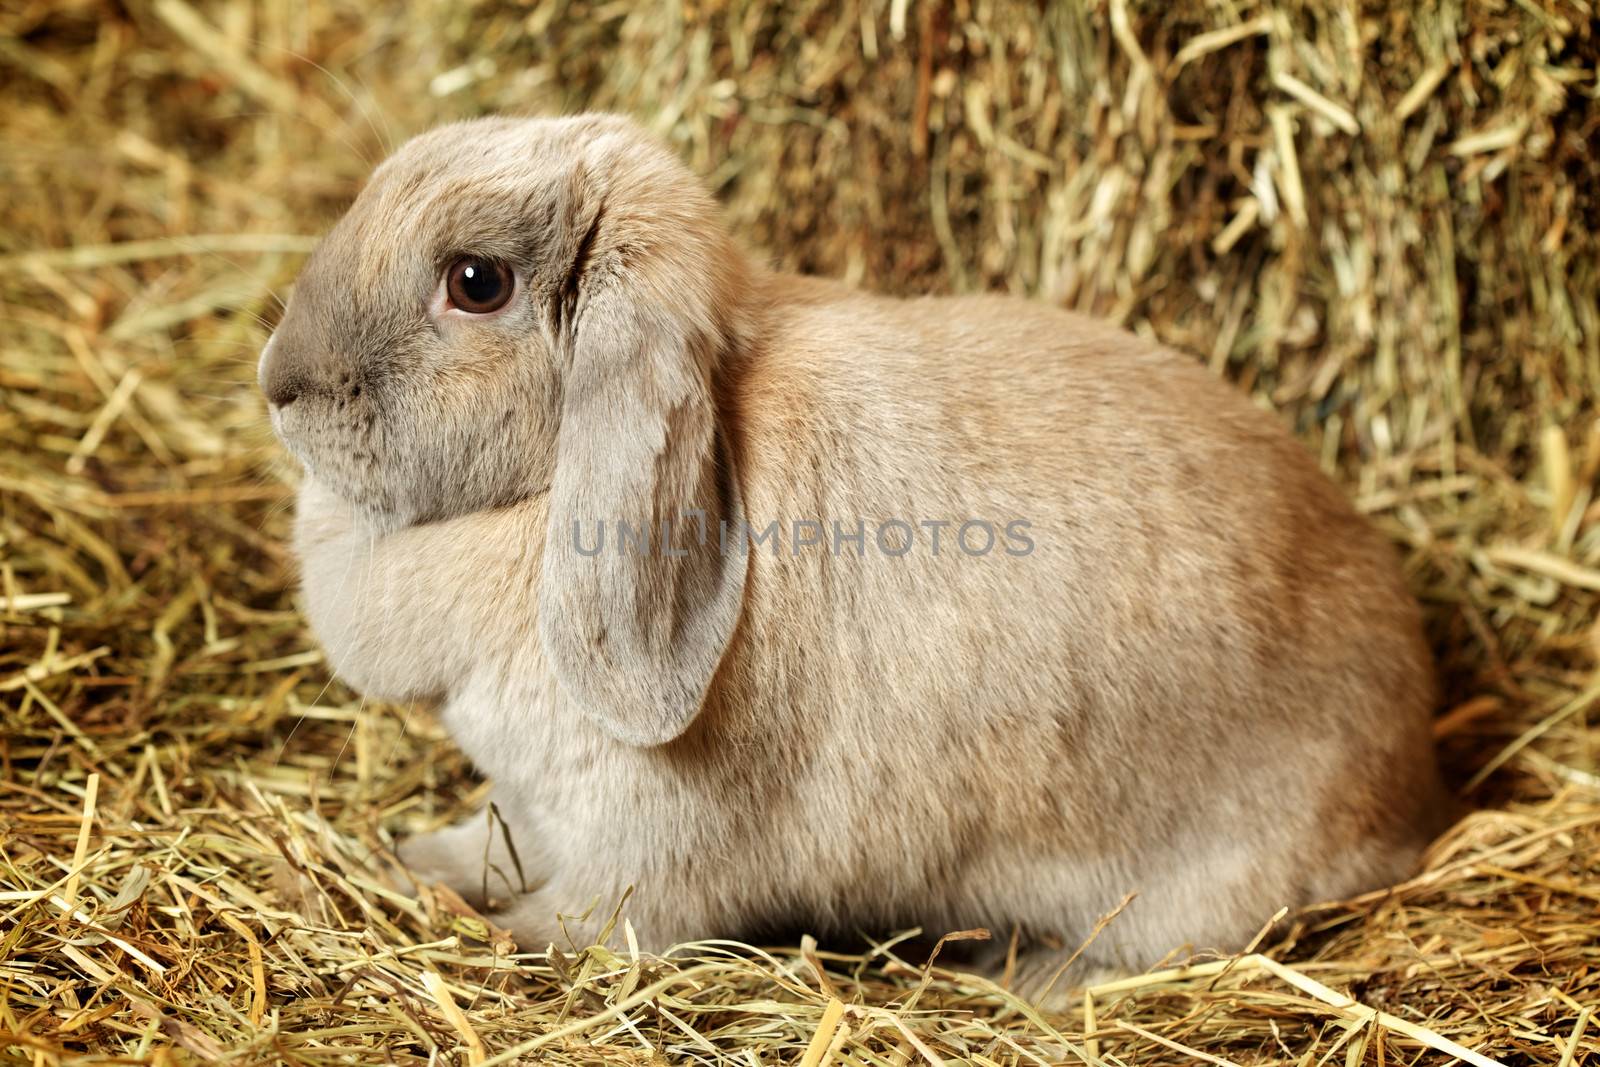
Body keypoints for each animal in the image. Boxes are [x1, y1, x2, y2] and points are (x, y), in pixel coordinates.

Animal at [262, 110, 1452, 991]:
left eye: (475, 281)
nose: (279, 382)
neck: (549, 486)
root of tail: (1412, 775)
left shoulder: (639, 852)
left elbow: (586, 921)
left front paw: (479, 925)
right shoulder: (529, 797)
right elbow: (488, 836)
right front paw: (413, 859)